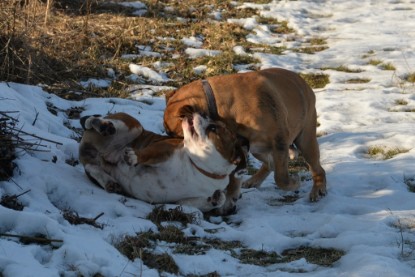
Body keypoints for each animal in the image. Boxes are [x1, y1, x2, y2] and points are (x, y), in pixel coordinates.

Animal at [79, 106, 245, 213]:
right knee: (92, 121)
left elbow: (206, 201)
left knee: (91, 166)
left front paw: (216, 198)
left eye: (213, 129)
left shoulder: (183, 201)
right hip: (132, 126)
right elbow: (148, 153)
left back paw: (109, 181)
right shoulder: (165, 148)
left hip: (98, 160)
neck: (199, 168)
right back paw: (103, 126)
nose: (202, 112)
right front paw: (134, 157)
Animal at [164, 67, 326, 201]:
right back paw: (255, 179)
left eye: (175, 133)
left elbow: (281, 178)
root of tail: (305, 85)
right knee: (269, 163)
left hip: (306, 141)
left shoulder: (279, 141)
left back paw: (318, 189)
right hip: (257, 148)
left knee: (316, 168)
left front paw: (294, 183)